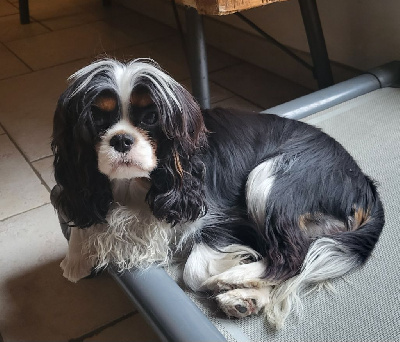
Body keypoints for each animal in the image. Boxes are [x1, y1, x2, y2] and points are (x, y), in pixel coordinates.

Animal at [50, 58, 384, 328]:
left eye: (151, 118)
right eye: (97, 119)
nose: (121, 139)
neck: (136, 185)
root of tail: (364, 183)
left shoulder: (225, 216)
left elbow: (193, 272)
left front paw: (228, 275)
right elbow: (81, 218)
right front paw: (76, 258)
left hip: (271, 178)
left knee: (292, 256)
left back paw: (234, 280)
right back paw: (246, 297)